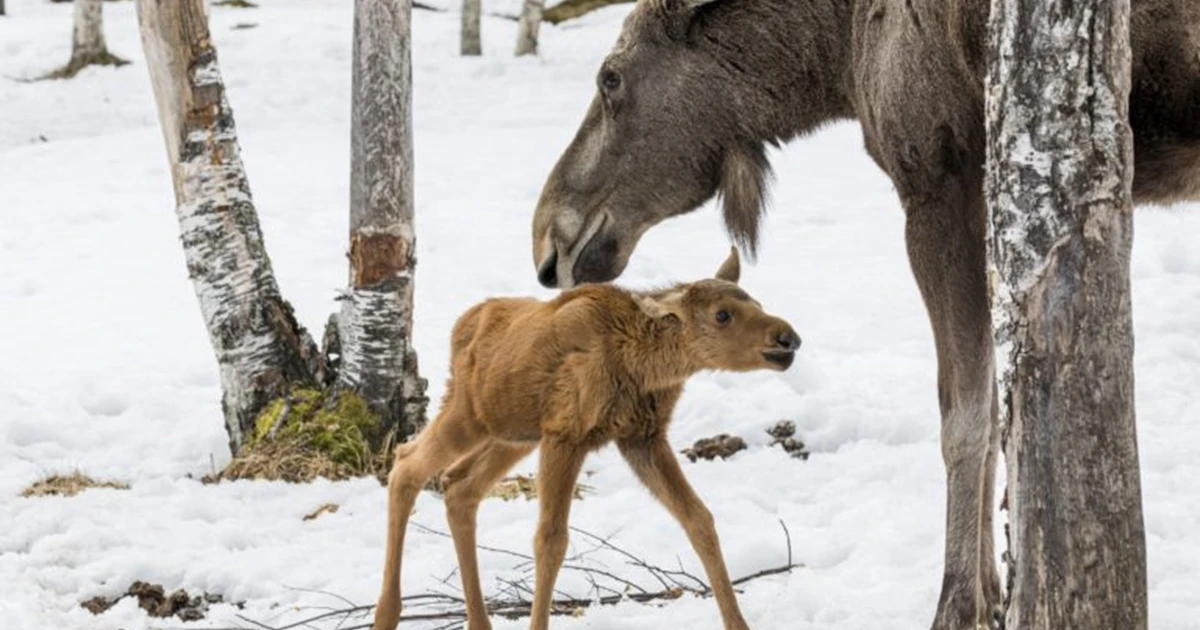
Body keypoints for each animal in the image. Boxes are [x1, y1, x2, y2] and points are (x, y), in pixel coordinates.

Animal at [372, 248, 800, 630]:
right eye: (722, 315)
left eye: (757, 301)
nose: (787, 337)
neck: (644, 366)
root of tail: (461, 327)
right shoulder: (567, 434)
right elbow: (551, 540)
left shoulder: (643, 438)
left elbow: (699, 519)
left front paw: (738, 623)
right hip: (470, 414)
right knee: (406, 464)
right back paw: (386, 615)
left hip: (515, 434)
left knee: (459, 486)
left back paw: (479, 622)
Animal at [528, 1, 1200, 628]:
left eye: (610, 77)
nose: (547, 246)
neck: (837, 56)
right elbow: (983, 410)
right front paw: (990, 595)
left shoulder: (937, 182)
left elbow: (964, 418)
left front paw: (955, 605)